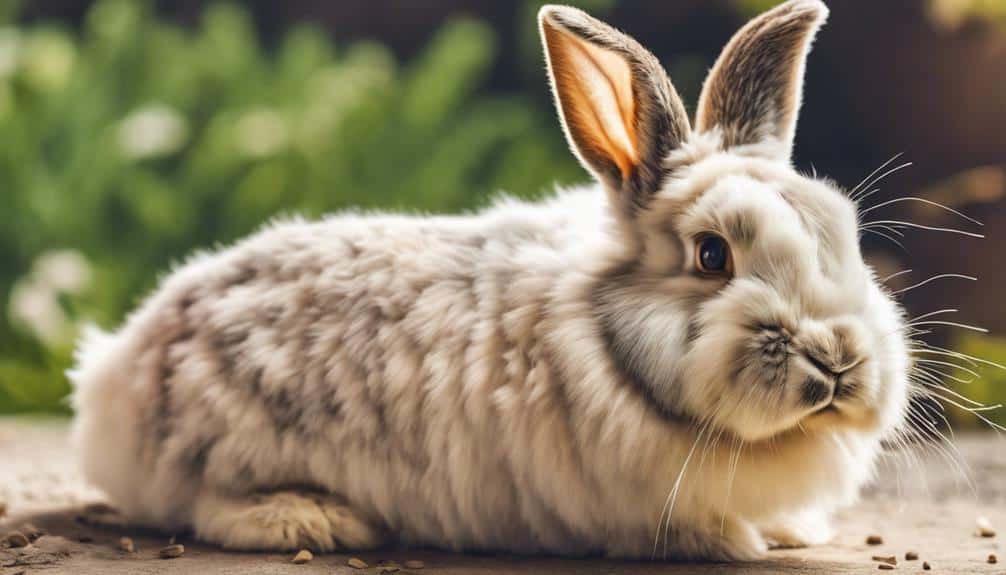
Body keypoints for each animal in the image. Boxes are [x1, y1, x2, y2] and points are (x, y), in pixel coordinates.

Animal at [70, 0, 911, 561]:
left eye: (844, 231)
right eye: (711, 256)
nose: (840, 358)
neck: (609, 346)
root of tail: (113, 372)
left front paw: (792, 529)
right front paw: (737, 540)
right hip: (227, 446)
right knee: (204, 505)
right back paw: (311, 520)